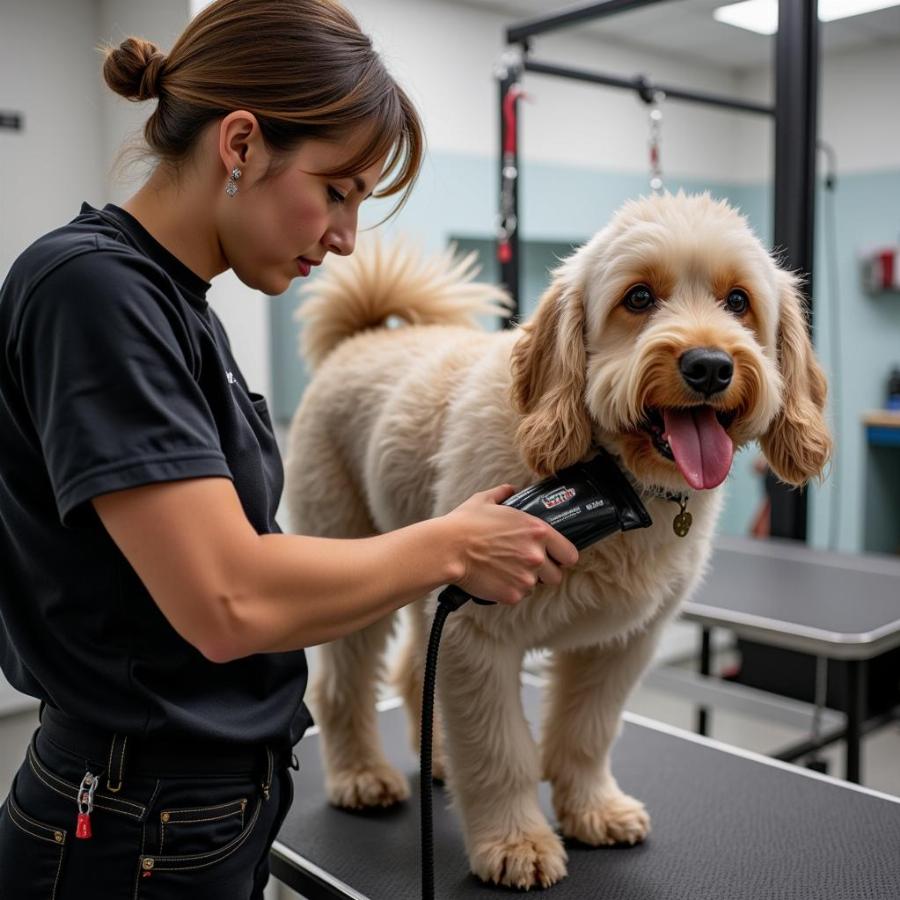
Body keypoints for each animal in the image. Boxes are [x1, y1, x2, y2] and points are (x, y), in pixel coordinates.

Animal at [284, 193, 828, 888]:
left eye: (738, 302)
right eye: (638, 298)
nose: (709, 366)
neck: (617, 477)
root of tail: (365, 336)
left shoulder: (622, 644)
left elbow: (584, 734)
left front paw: (593, 810)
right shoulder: (475, 634)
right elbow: (499, 751)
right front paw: (515, 843)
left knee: (413, 675)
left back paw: (438, 759)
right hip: (357, 564)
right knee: (344, 685)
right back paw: (361, 776)